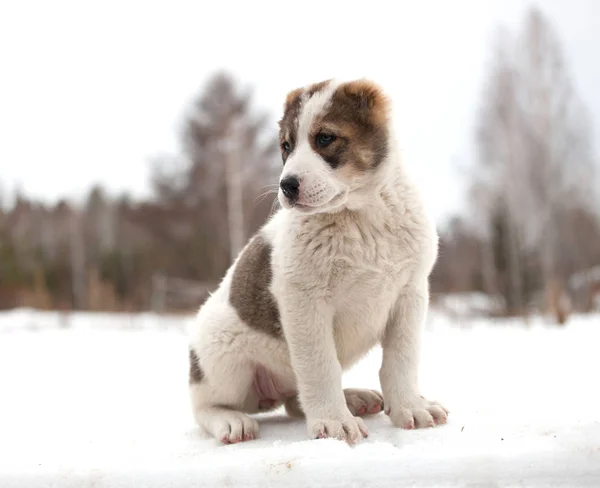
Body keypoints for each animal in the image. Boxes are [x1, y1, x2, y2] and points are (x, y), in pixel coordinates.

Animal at [190, 78, 448, 444]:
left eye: (325, 138)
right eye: (286, 146)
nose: (286, 185)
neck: (361, 215)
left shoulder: (410, 293)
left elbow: (402, 360)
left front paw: (410, 406)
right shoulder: (304, 301)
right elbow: (320, 366)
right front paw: (334, 421)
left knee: (295, 403)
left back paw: (354, 398)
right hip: (223, 361)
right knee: (205, 406)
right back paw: (230, 421)